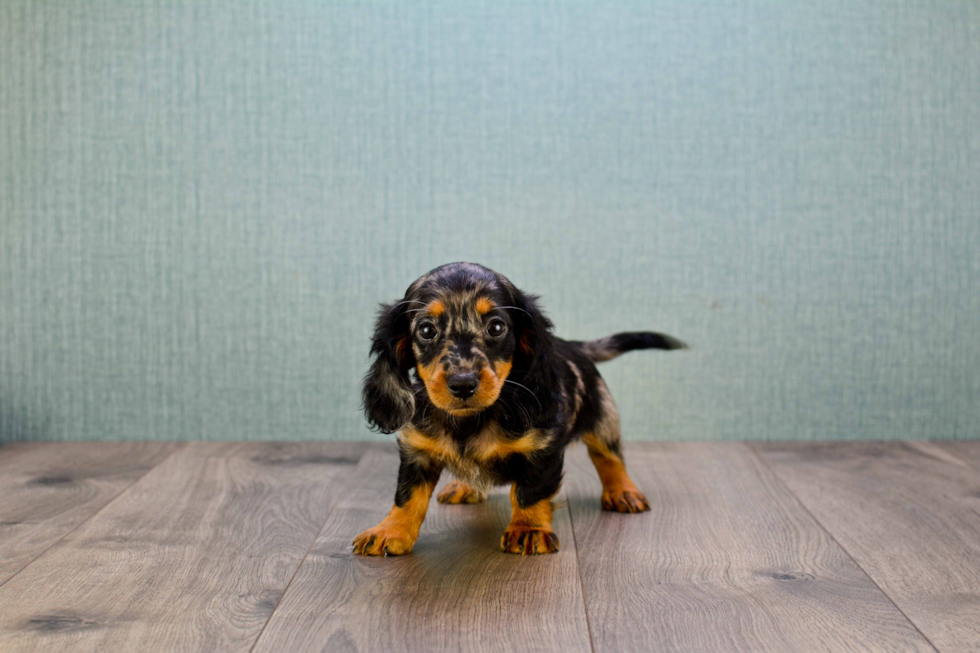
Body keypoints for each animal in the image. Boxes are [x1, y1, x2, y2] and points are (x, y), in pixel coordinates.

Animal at [354, 262, 688, 552]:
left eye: (496, 327)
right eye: (426, 331)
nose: (463, 384)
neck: (471, 421)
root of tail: (573, 345)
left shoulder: (543, 448)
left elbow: (529, 491)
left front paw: (528, 529)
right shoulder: (417, 453)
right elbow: (406, 496)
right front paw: (390, 531)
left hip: (603, 420)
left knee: (610, 458)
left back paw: (623, 491)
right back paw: (466, 487)